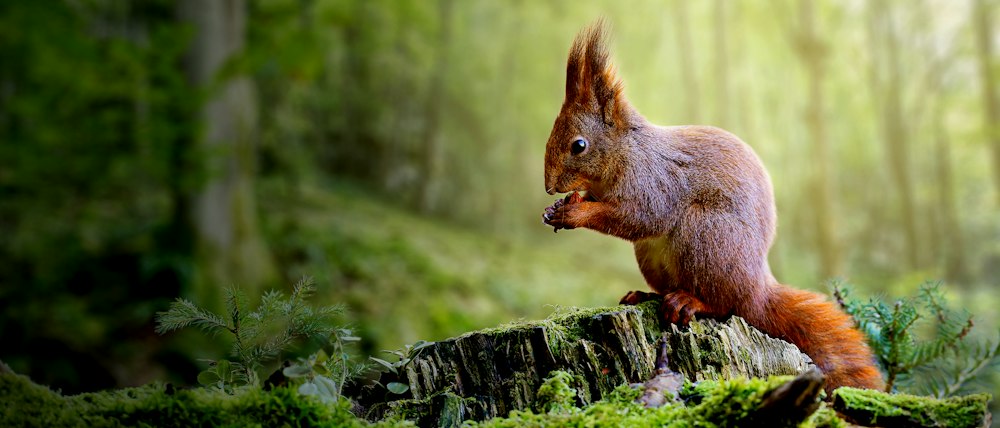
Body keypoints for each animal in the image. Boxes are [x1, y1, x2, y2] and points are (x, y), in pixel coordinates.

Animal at [541, 21, 884, 393]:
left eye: (579, 145)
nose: (549, 186)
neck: (625, 152)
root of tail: (757, 290)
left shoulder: (654, 183)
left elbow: (639, 218)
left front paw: (575, 213)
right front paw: (558, 208)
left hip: (706, 237)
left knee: (725, 305)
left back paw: (689, 301)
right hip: (656, 256)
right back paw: (644, 296)